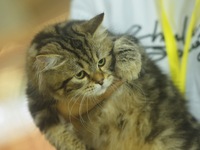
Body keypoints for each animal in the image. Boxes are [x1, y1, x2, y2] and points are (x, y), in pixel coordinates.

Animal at [26, 13, 200, 149]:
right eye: (80, 75)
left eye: (101, 62)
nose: (101, 80)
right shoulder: (37, 104)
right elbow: (55, 132)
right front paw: (74, 146)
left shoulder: (127, 40)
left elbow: (125, 42)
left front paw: (128, 66)